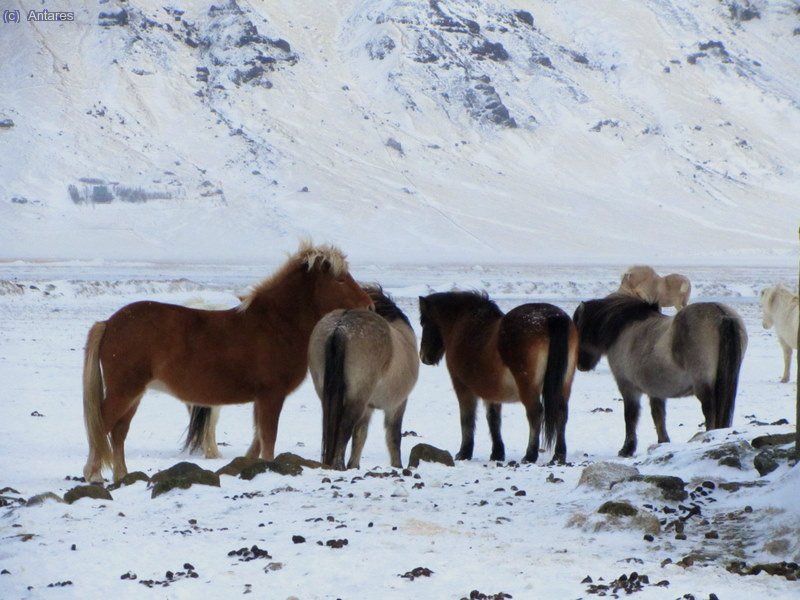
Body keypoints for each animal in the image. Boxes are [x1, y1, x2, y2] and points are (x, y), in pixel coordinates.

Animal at [82, 241, 374, 482]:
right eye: (340, 279)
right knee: (101, 426)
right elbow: (268, 439)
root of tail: (108, 323)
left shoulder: (261, 400)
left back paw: (121, 476)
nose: (370, 305)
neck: (275, 324)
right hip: (124, 391)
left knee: (118, 432)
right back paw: (93, 475)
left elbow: (258, 440)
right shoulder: (271, 397)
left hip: (134, 395)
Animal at [308, 284, 419, 470]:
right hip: (358, 398)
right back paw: (339, 465)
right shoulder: (397, 405)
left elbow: (360, 435)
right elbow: (393, 436)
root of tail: (340, 327)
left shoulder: (368, 407)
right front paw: (397, 465)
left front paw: (354, 465)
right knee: (344, 427)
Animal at [418, 291, 578, 464]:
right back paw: (558, 455)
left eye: (423, 322)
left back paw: (530, 455)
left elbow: (467, 419)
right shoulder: (492, 392)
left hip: (528, 387)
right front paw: (497, 453)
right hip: (564, 384)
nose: (424, 356)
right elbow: (494, 420)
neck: (463, 327)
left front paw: (464, 453)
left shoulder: (462, 387)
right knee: (561, 413)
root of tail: (552, 317)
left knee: (535, 414)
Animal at [572, 294, 747, 457]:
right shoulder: (656, 391)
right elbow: (658, 417)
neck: (623, 329)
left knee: (709, 411)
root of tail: (722, 314)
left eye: (578, 331)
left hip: (703, 386)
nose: (580, 365)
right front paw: (662, 442)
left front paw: (627, 449)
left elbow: (630, 417)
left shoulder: (628, 388)